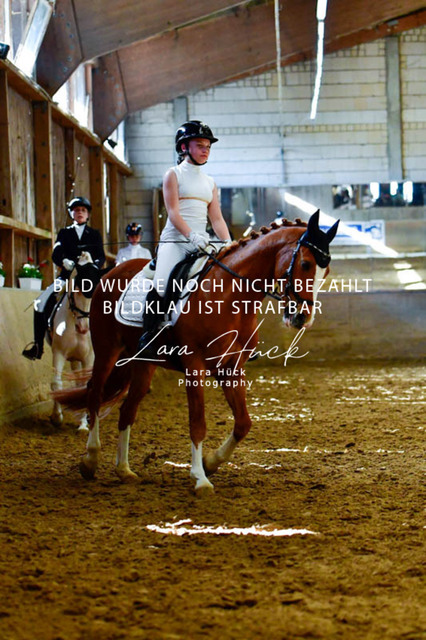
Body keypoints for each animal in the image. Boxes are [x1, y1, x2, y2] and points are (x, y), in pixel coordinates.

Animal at [49, 252, 102, 430]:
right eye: (77, 290)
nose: (84, 327)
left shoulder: (89, 357)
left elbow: (85, 386)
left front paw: (84, 425)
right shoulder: (58, 353)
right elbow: (56, 384)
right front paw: (57, 417)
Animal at [55, 210, 339, 493]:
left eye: (326, 272)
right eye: (306, 264)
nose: (302, 318)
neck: (229, 296)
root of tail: (113, 271)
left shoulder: (231, 369)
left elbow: (243, 423)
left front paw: (211, 462)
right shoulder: (195, 367)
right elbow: (198, 423)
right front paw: (200, 478)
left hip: (143, 362)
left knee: (127, 410)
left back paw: (124, 470)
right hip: (107, 351)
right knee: (94, 395)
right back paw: (90, 459)